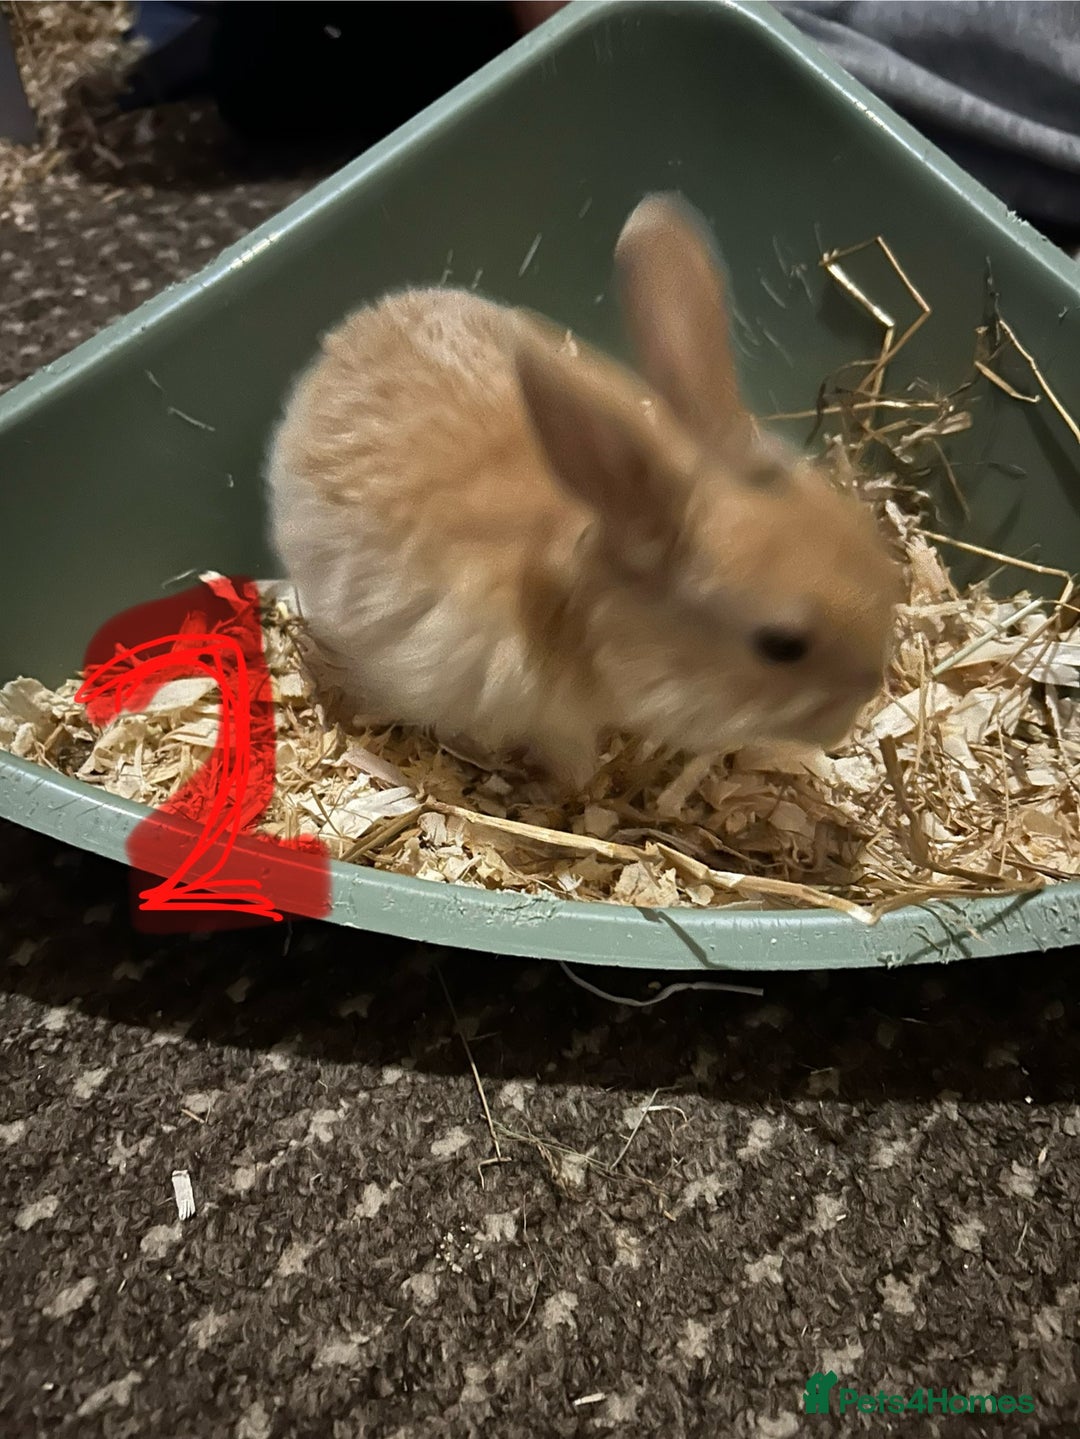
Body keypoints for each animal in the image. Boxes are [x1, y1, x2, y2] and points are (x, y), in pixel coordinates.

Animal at [266, 192, 903, 793]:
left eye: (873, 547)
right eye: (781, 645)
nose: (863, 699)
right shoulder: (546, 719)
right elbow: (571, 763)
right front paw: (571, 787)